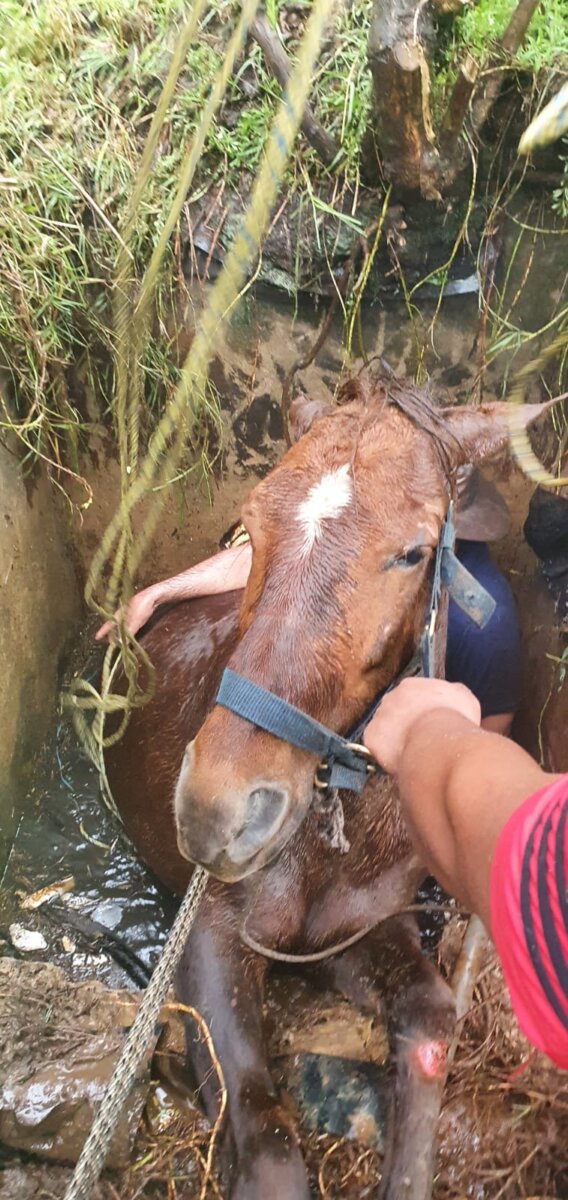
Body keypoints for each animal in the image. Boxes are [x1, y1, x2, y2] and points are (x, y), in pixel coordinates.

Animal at [106, 376, 547, 1200]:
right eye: (251, 524)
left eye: (412, 553)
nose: (219, 808)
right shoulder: (210, 938)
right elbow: (264, 1143)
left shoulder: (359, 932)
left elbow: (431, 1026)